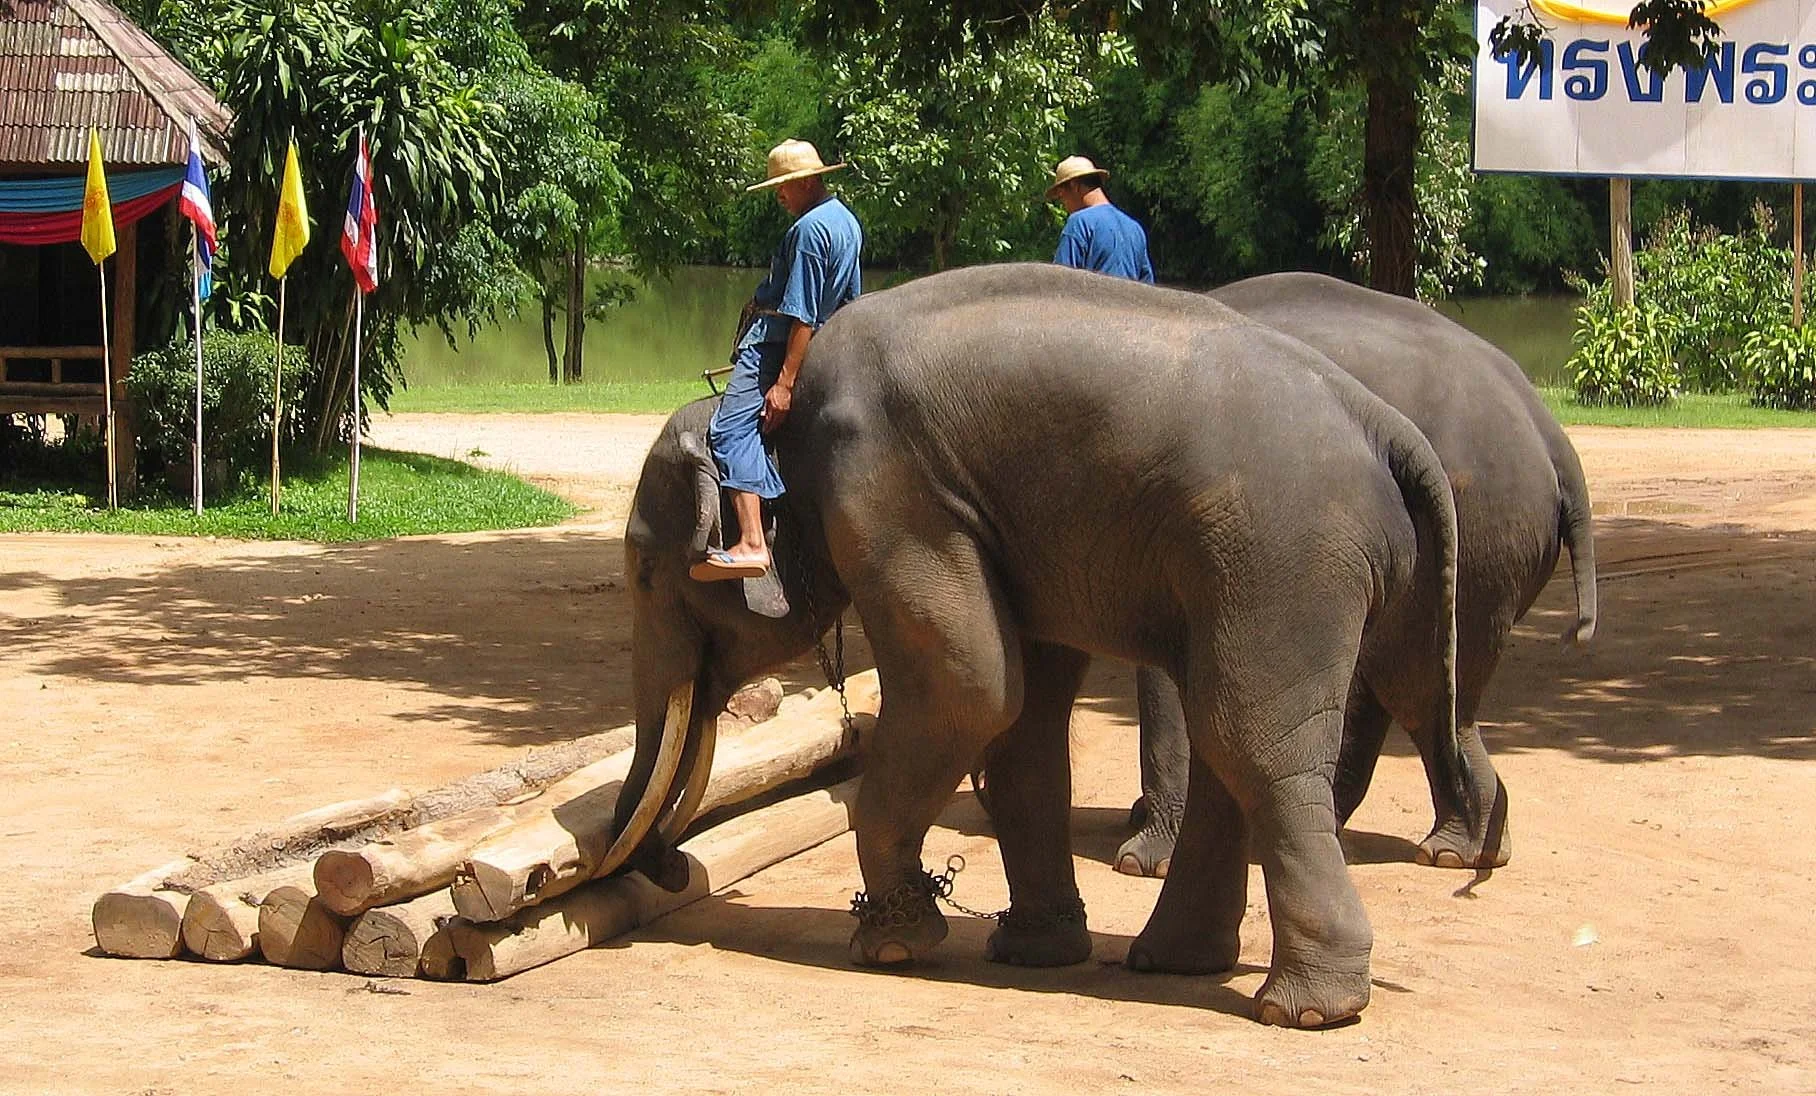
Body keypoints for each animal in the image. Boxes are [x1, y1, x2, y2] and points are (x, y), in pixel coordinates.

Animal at [608, 263, 1473, 1027]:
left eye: (646, 572)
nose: (672, 870)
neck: (769, 411)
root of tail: (1382, 423)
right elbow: (1020, 720)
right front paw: (1027, 952)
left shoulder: (885, 492)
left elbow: (970, 687)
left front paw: (890, 947)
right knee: (1223, 733)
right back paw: (1173, 963)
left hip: (1285, 558)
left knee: (1250, 739)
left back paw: (1306, 1011)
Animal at [1111, 271, 1598, 880]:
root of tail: (1551, 435)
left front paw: (1141, 863)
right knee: (1410, 688)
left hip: (1475, 541)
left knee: (1421, 687)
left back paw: (1446, 851)